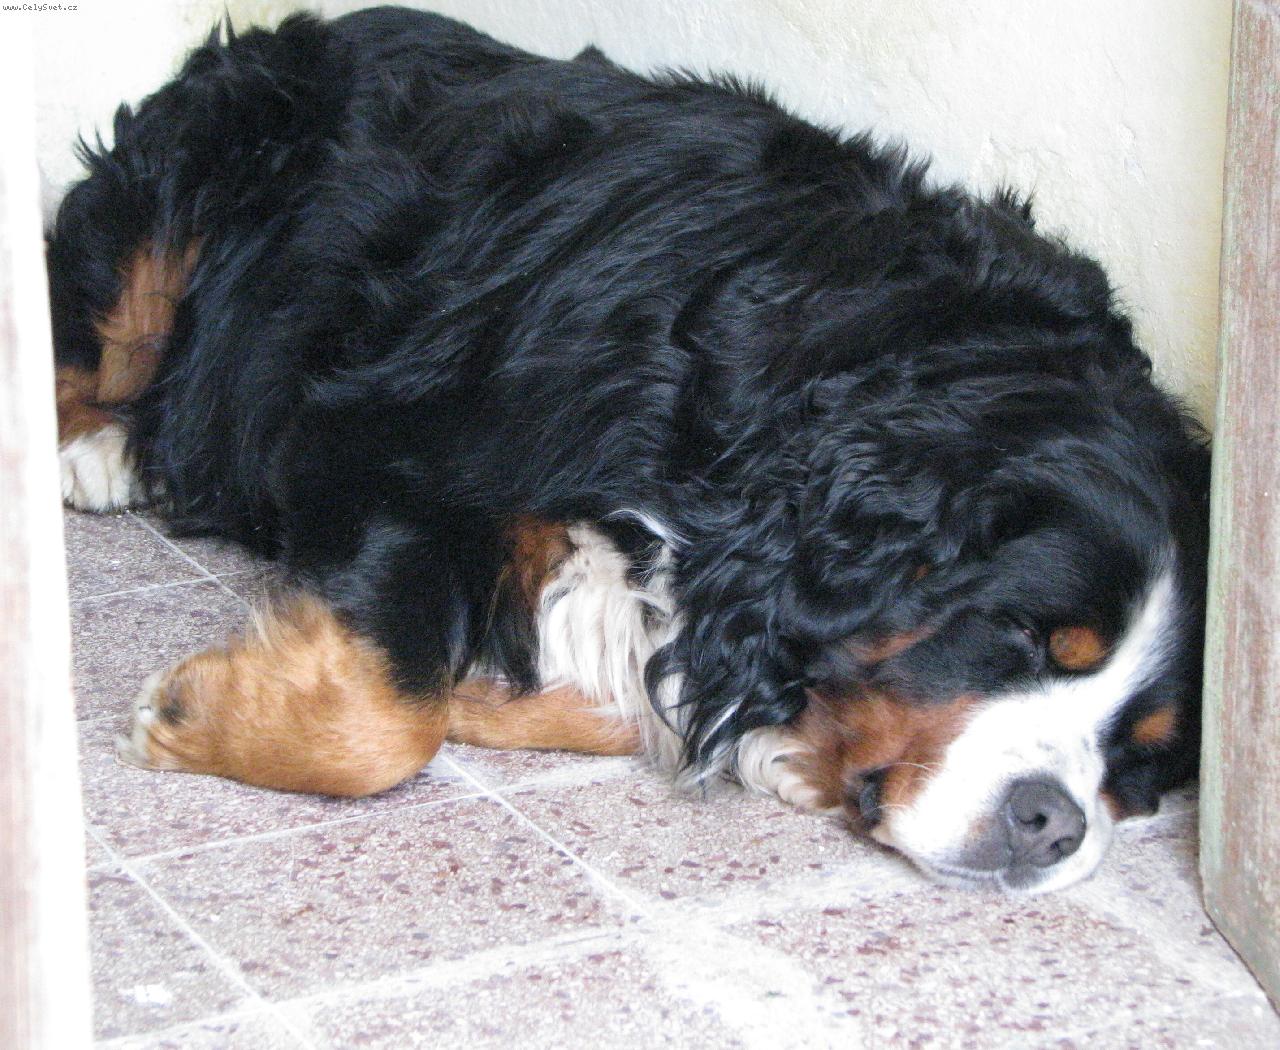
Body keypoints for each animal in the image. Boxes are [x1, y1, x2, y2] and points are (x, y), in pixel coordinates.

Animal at [48, 7, 1210, 893]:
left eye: (1141, 756)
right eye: (1017, 636)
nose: (1052, 821)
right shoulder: (376, 443)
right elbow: (383, 718)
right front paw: (191, 717)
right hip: (198, 174)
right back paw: (96, 448)